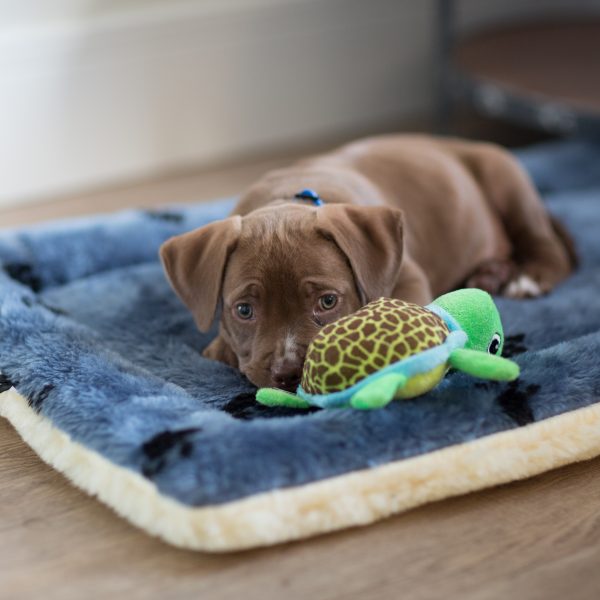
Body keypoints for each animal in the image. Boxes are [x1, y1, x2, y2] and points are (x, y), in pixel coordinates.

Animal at [159, 135, 576, 390]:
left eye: (328, 301)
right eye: (244, 310)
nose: (289, 373)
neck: (287, 200)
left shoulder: (407, 277)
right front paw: (222, 348)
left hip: (505, 176)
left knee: (544, 243)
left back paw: (527, 277)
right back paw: (488, 274)